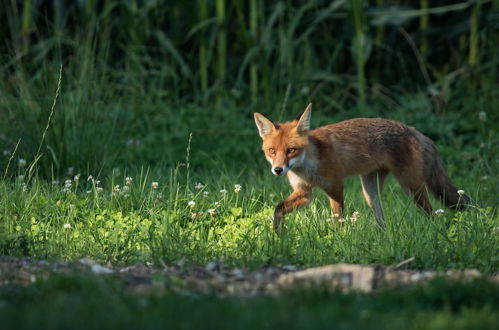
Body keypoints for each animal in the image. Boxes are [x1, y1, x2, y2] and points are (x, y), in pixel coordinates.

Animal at [256, 104, 470, 231]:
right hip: (370, 192)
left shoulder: (335, 186)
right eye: (272, 151)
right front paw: (278, 234)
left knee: (433, 214)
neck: (309, 164)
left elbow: (337, 218)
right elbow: (278, 209)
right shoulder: (304, 192)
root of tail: (413, 130)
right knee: (382, 219)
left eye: (291, 150)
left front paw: (336, 239)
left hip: (413, 188)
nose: (278, 170)